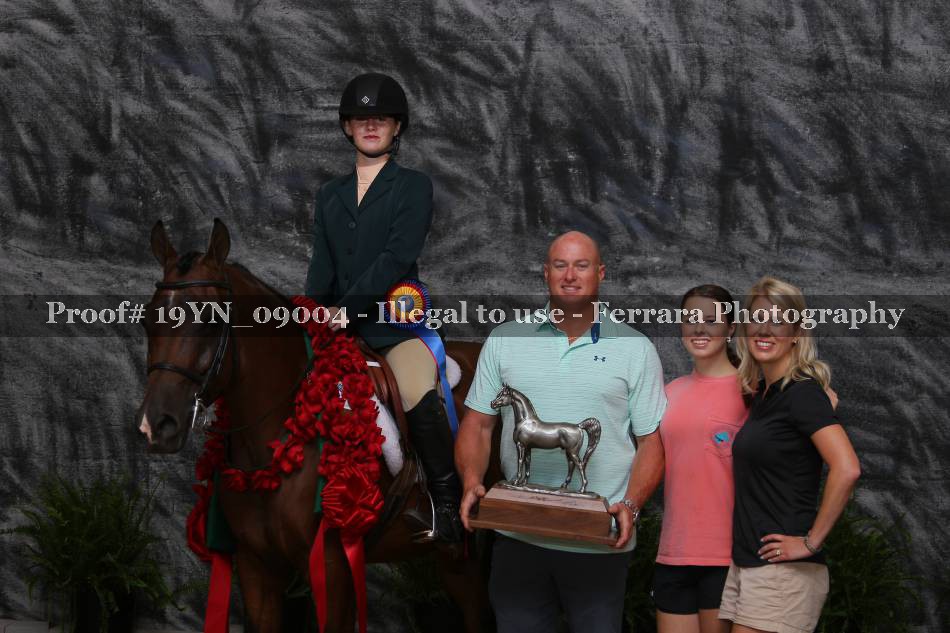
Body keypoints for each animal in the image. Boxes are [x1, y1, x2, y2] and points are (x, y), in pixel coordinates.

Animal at [136, 219, 492, 633]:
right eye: (147, 319)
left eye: (210, 320)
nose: (157, 424)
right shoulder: (257, 569)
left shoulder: (332, 567)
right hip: (457, 560)